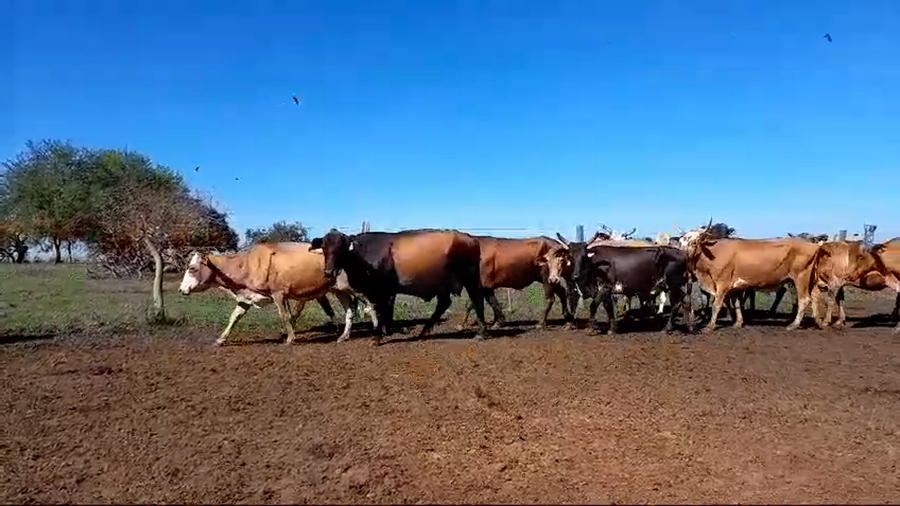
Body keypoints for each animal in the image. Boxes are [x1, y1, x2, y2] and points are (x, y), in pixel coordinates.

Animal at [178, 242, 376, 346]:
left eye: (192, 268)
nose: (181, 290)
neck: (248, 263)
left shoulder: (278, 294)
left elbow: (285, 316)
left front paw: (290, 338)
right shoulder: (247, 297)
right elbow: (234, 317)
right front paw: (220, 339)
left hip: (354, 287)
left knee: (370, 302)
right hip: (338, 290)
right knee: (350, 310)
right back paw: (344, 336)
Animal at [309, 228, 488, 345]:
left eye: (341, 247)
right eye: (324, 247)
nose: (329, 271)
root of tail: (470, 238)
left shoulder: (382, 291)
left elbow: (382, 312)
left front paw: (378, 337)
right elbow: (382, 311)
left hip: (470, 278)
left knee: (477, 300)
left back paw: (481, 332)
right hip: (442, 284)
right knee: (444, 303)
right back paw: (424, 331)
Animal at [552, 232, 692, 335]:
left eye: (584, 257)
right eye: (570, 257)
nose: (575, 276)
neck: (594, 266)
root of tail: (682, 253)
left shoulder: (604, 287)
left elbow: (593, 305)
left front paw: (591, 328)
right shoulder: (606, 292)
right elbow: (608, 307)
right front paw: (612, 328)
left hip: (674, 284)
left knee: (676, 304)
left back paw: (667, 328)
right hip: (674, 286)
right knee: (685, 301)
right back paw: (688, 327)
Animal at [681, 220, 824, 333]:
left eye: (694, 242)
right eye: (681, 241)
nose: (682, 254)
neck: (714, 252)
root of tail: (814, 245)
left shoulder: (722, 283)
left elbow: (717, 305)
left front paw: (710, 326)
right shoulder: (735, 286)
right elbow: (737, 303)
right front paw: (738, 322)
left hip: (801, 277)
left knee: (804, 299)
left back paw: (794, 324)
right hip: (810, 279)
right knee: (815, 297)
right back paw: (819, 323)